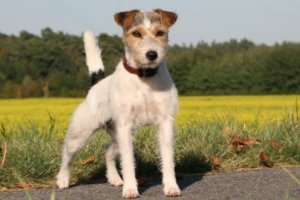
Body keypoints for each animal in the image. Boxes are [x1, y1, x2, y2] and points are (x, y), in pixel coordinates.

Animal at [55, 8, 180, 198]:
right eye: (136, 33)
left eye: (160, 33)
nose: (152, 54)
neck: (144, 77)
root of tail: (97, 83)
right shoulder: (125, 125)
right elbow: (128, 161)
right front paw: (130, 189)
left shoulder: (164, 123)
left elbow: (167, 157)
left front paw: (171, 187)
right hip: (82, 133)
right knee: (66, 154)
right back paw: (63, 179)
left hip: (117, 134)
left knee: (107, 151)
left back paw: (114, 178)